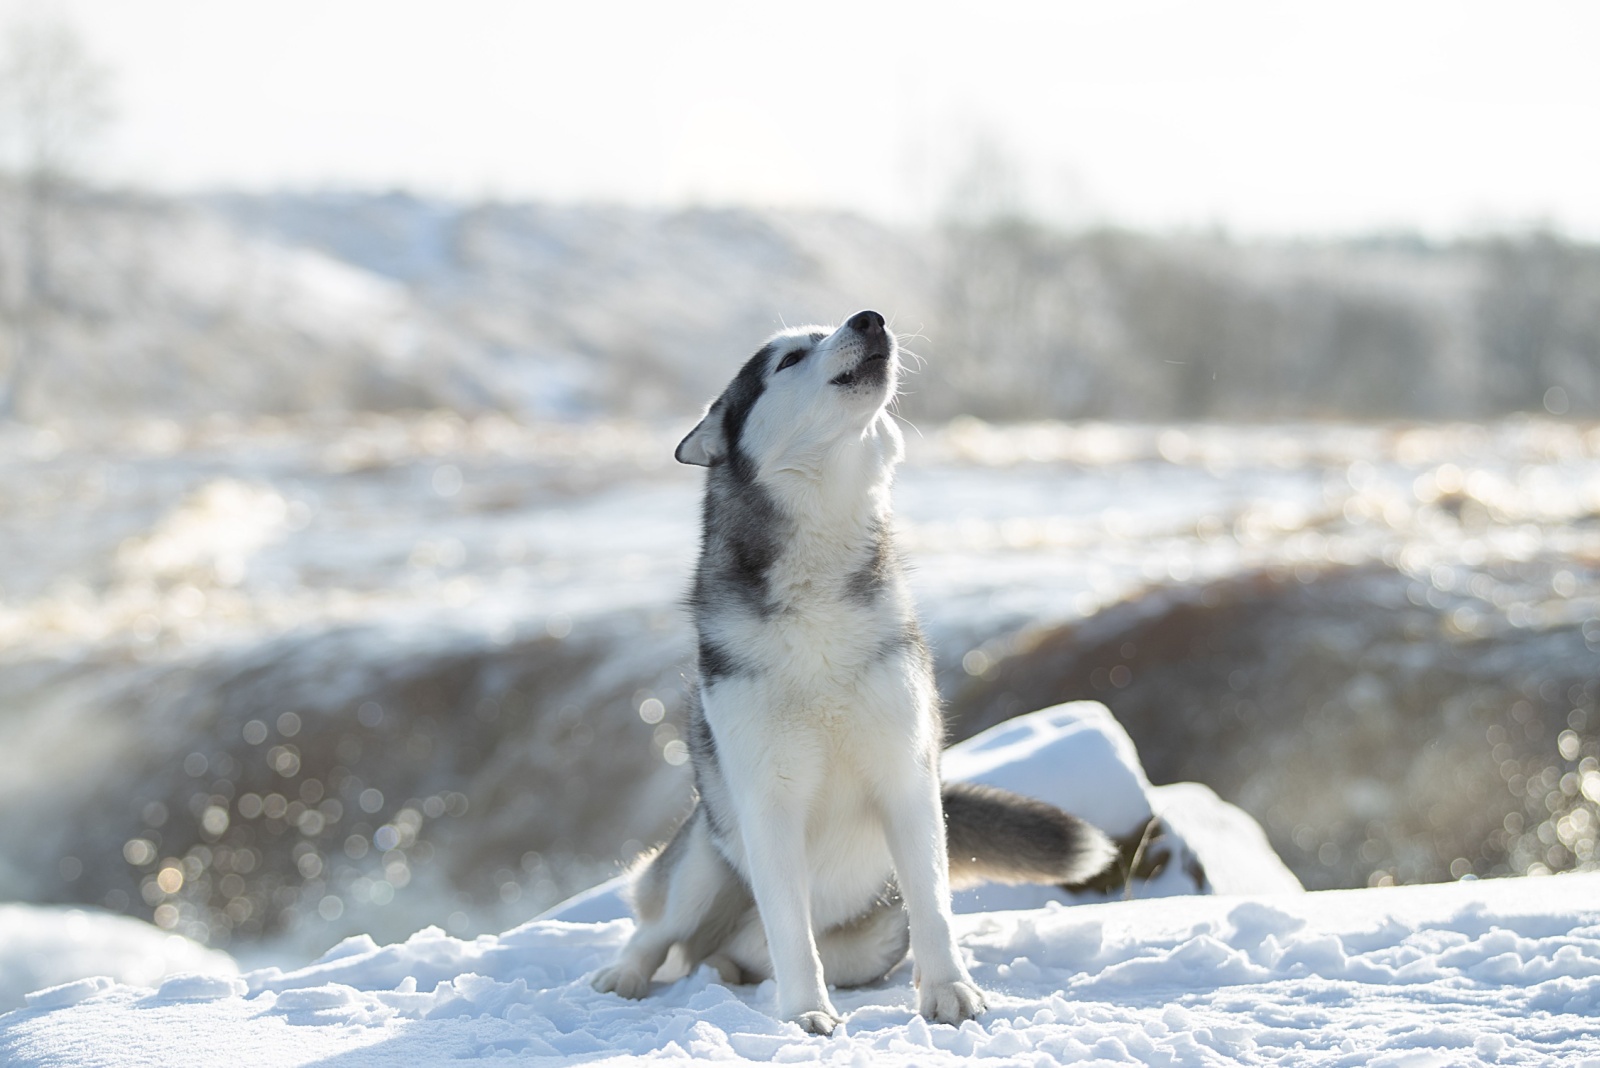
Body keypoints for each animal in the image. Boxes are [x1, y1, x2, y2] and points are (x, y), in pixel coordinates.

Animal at [592, 308, 1113, 1036]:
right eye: (787, 359)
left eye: (829, 329)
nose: (870, 319)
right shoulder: (769, 801)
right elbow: (790, 931)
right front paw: (806, 1014)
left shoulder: (907, 777)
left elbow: (934, 907)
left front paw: (949, 993)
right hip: (704, 860)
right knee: (660, 930)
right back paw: (625, 977)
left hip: (867, 933)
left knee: (742, 954)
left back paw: (727, 973)